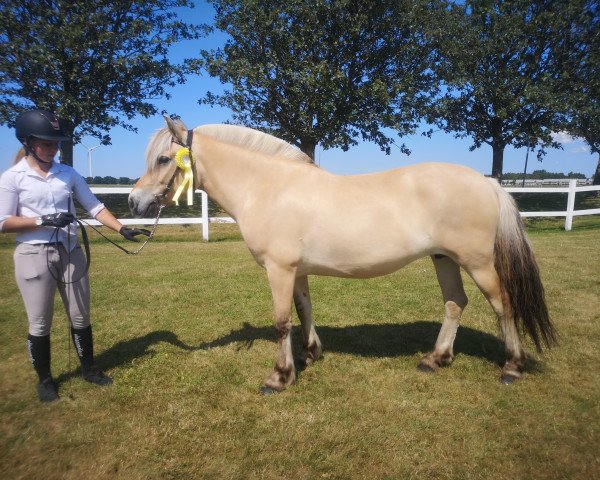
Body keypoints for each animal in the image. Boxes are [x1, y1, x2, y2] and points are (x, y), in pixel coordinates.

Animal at [127, 117, 556, 394]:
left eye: (164, 160)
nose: (133, 202)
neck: (268, 187)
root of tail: (489, 184)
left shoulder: (278, 270)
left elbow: (281, 322)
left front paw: (279, 377)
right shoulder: (296, 271)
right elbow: (304, 310)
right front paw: (310, 354)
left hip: (478, 263)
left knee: (502, 304)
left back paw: (512, 367)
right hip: (443, 258)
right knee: (455, 303)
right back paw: (435, 359)